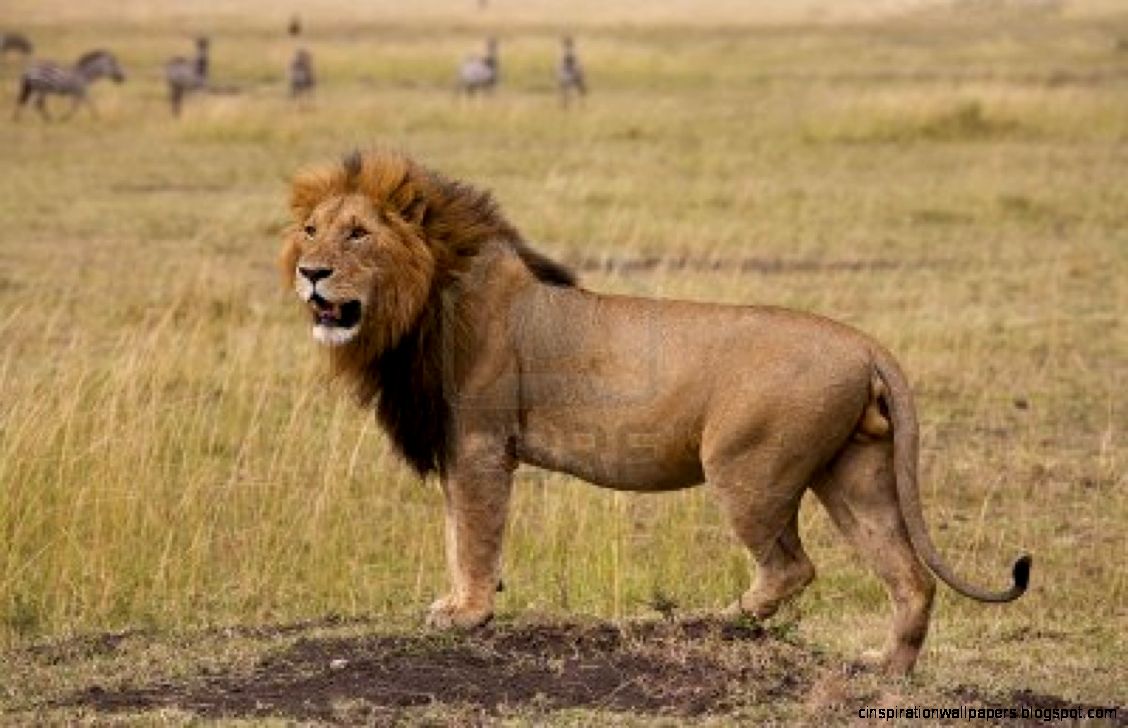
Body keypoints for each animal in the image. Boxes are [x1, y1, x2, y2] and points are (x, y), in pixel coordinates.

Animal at [279, 150, 1030, 675]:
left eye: (357, 235)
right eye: (310, 231)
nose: (310, 274)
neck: (423, 302)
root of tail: (867, 343)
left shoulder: (481, 444)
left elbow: (473, 534)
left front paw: (468, 614)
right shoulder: (458, 446)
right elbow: (455, 532)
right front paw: (459, 604)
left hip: (746, 467)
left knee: (792, 567)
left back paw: (718, 620)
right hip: (855, 473)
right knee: (908, 577)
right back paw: (885, 668)